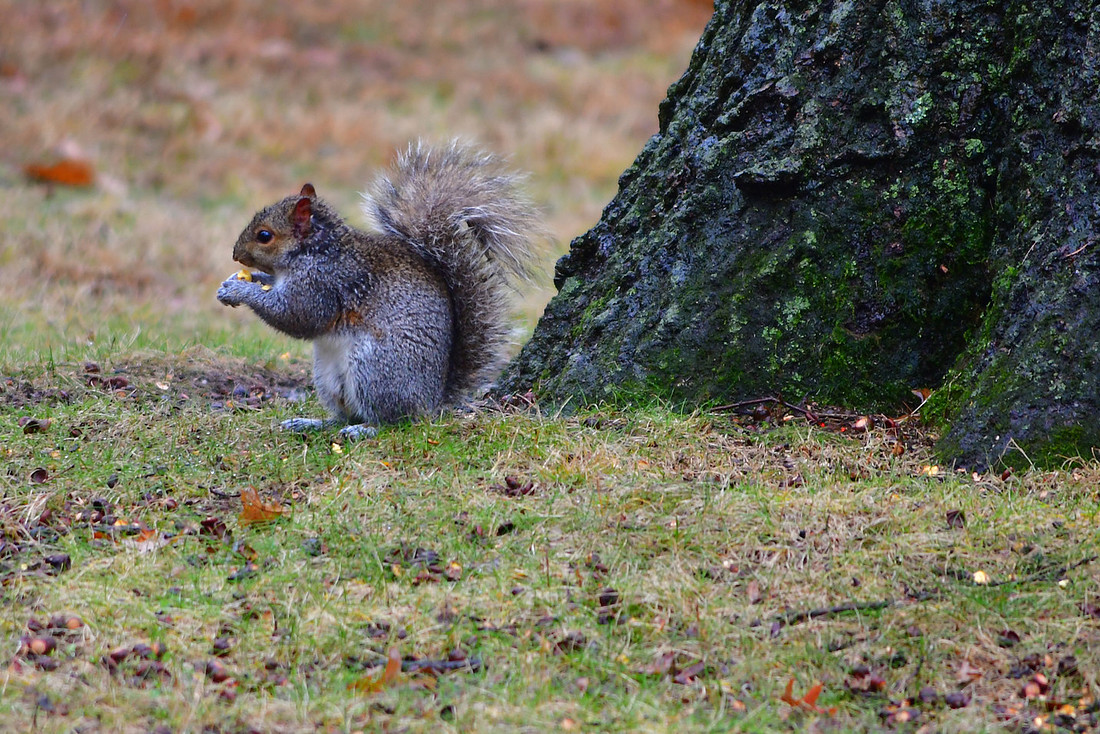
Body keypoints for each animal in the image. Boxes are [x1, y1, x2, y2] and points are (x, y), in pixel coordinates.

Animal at [216, 142, 539, 439]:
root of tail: (432, 400)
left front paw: (237, 290)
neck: (314, 250)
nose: (234, 254)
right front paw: (238, 280)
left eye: (264, 235)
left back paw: (365, 429)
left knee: (397, 420)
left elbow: (297, 316)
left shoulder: (323, 283)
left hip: (375, 370)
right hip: (328, 377)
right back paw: (313, 423)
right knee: (344, 415)